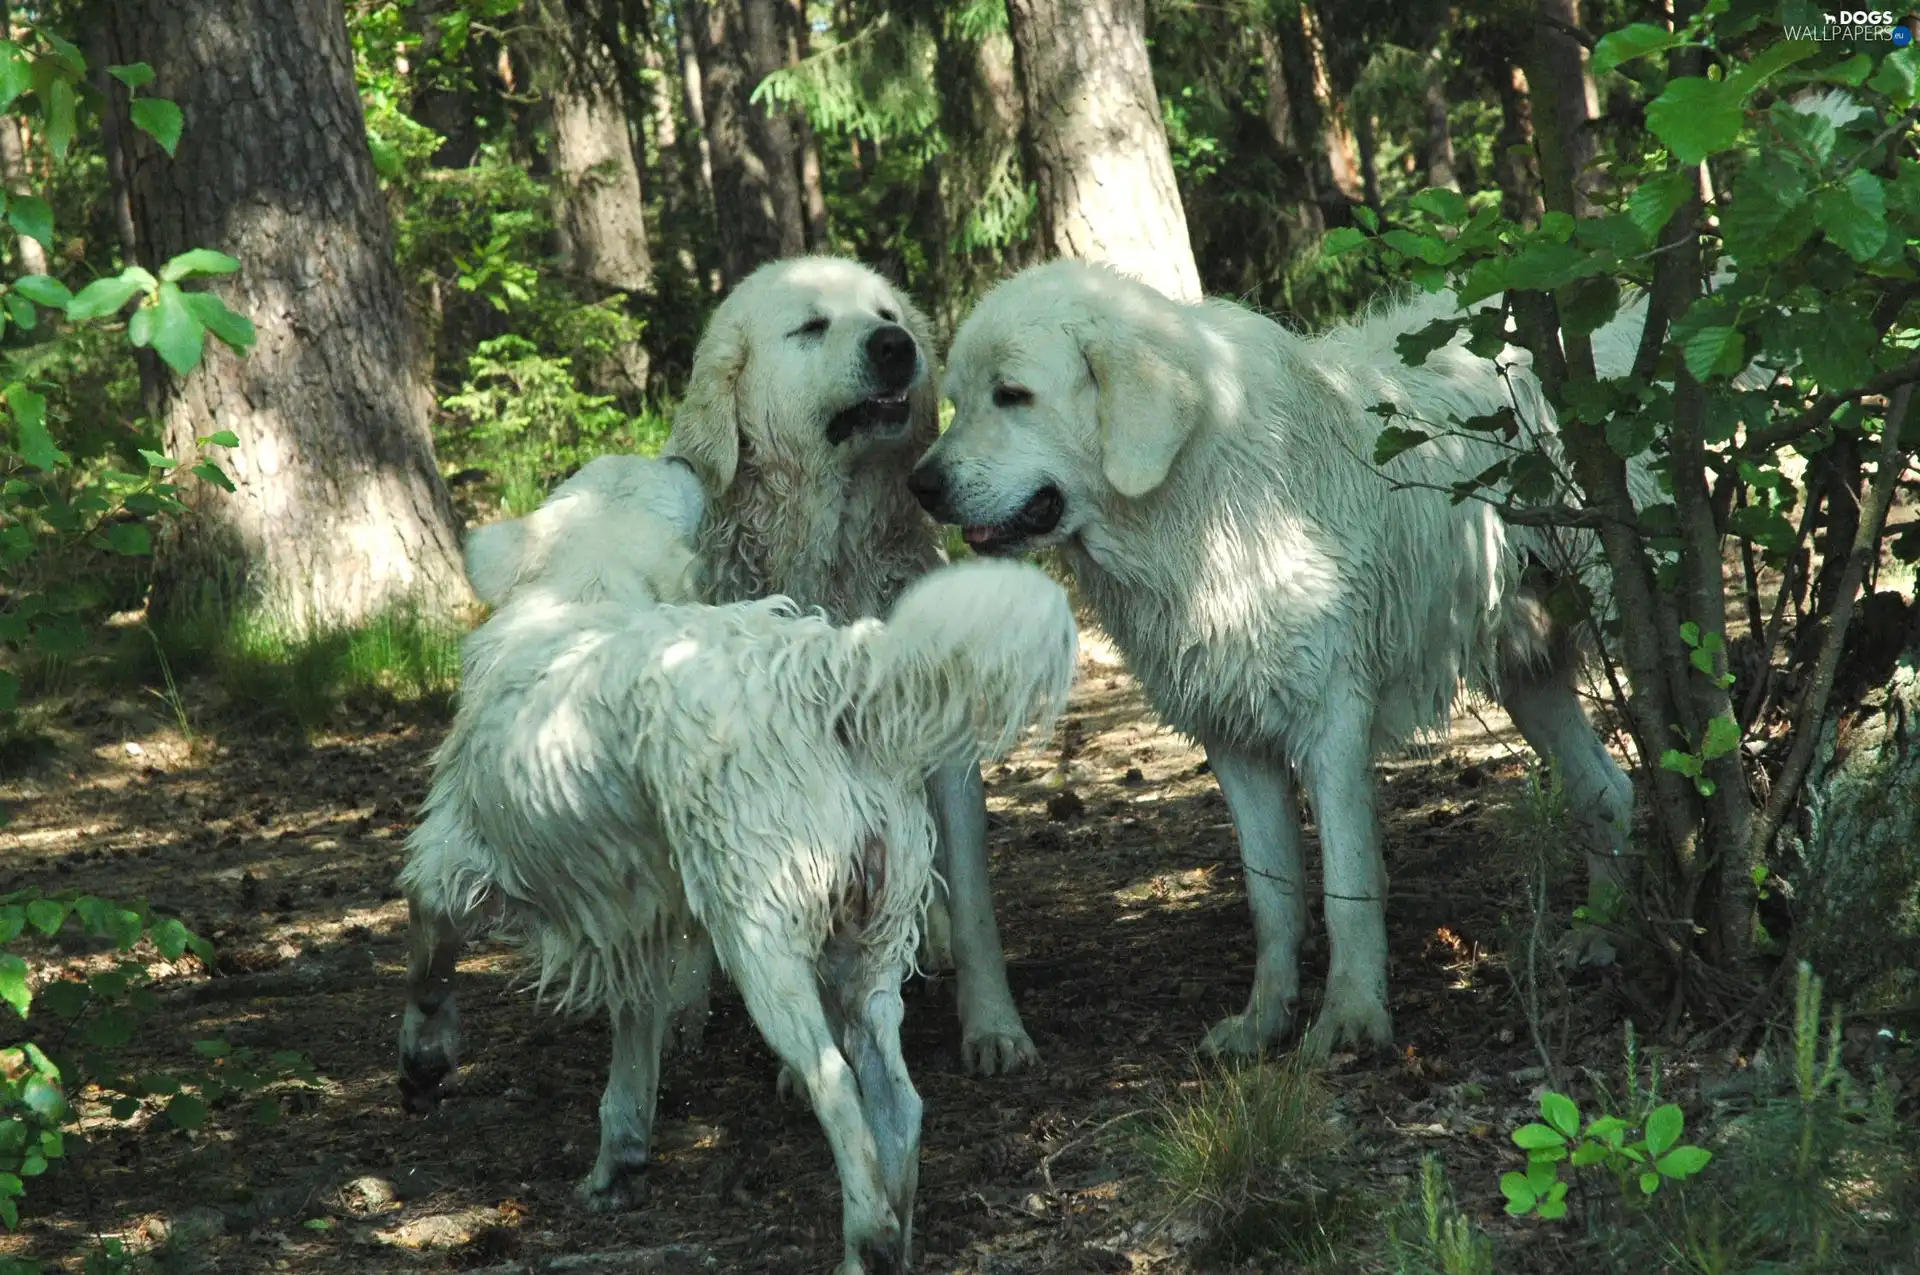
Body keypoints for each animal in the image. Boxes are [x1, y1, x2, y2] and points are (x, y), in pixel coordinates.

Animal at [393, 453, 1082, 1267]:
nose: (680, 456)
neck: (591, 579)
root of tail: (827, 682)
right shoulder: (635, 916)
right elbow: (634, 1042)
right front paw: (620, 1161)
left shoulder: (452, 854)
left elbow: (427, 954)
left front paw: (424, 1054)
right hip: (870, 936)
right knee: (897, 1099)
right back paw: (897, 1229)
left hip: (763, 935)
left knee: (835, 1086)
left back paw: (867, 1238)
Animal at [664, 257, 1052, 1075]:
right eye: (812, 326)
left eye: (885, 314)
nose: (895, 346)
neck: (834, 553)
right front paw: (803, 1062)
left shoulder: (946, 760)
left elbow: (973, 902)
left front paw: (994, 1027)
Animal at [906, 259, 1643, 1052]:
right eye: (957, 401)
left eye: (1012, 395)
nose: (920, 485)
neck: (1198, 502)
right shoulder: (1233, 738)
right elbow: (1273, 896)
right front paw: (1264, 1021)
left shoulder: (1332, 723)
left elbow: (1347, 887)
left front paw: (1350, 1019)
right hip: (1528, 670)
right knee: (1606, 790)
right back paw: (1602, 937)